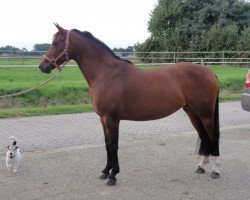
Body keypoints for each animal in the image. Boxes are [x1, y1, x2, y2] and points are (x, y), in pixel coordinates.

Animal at [39, 24, 221, 186]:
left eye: (55, 43)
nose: (42, 66)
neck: (106, 73)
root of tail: (210, 72)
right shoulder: (103, 119)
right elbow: (107, 145)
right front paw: (105, 171)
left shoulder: (112, 119)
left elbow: (113, 146)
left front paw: (112, 176)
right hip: (192, 112)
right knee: (204, 135)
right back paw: (201, 166)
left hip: (205, 114)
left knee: (213, 136)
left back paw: (215, 170)